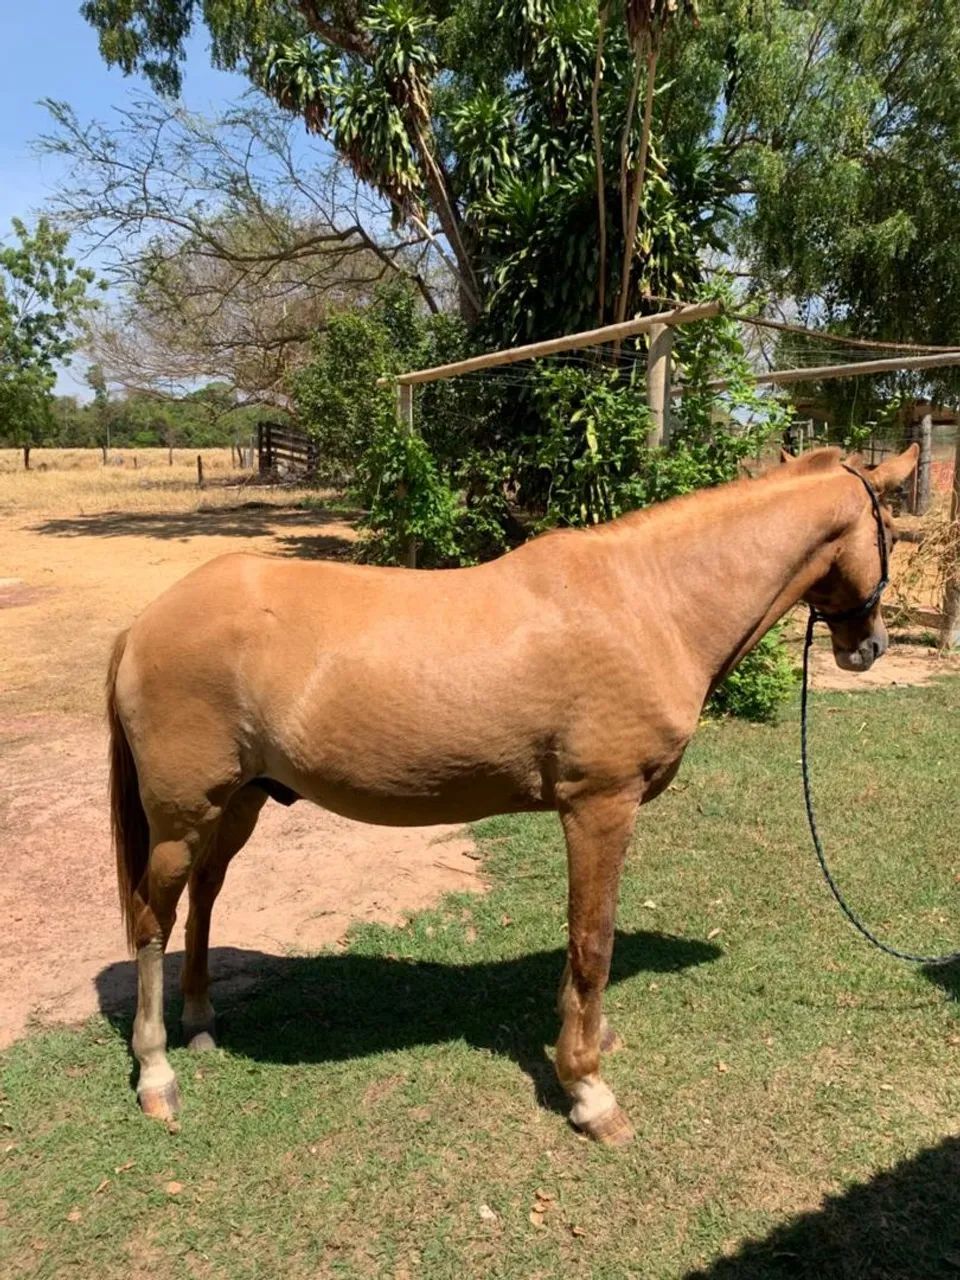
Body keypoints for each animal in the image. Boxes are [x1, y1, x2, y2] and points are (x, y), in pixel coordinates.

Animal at [106, 443, 918, 1145]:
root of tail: (145, 622)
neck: (649, 601)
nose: (870, 647)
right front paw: (588, 1090)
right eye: (893, 533)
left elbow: (581, 943)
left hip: (237, 803)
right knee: (152, 919)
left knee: (204, 899)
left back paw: (202, 1022)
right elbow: (593, 940)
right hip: (183, 817)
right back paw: (157, 1073)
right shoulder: (600, 807)